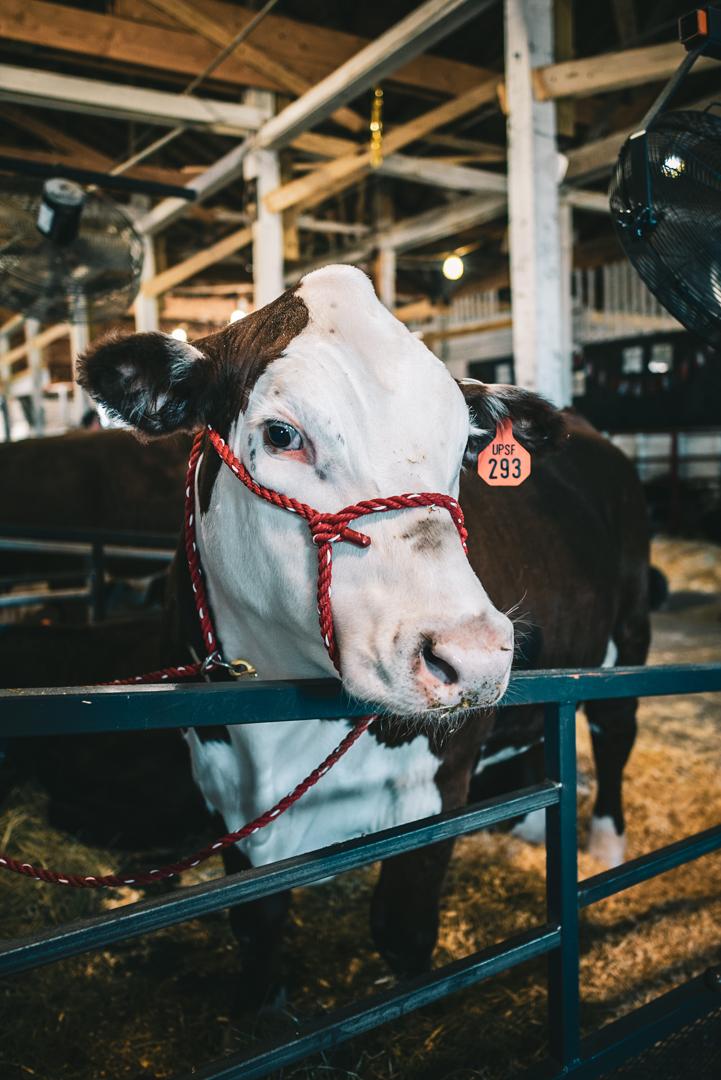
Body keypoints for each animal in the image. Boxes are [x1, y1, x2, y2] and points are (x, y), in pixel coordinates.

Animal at [78, 264, 650, 1007]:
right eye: (282, 434)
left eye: (458, 451)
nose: (474, 656)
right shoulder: (225, 796)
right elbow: (257, 931)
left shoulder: (441, 782)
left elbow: (401, 935)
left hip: (628, 628)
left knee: (614, 731)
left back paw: (606, 851)